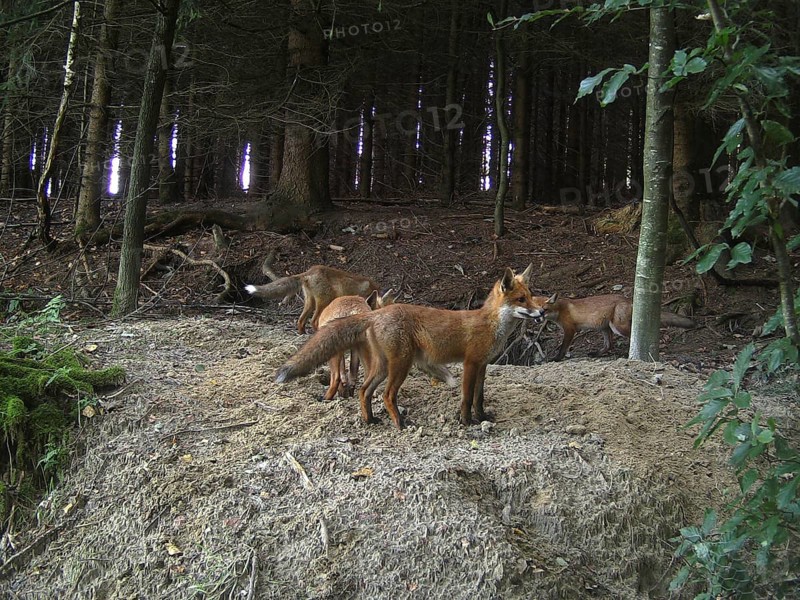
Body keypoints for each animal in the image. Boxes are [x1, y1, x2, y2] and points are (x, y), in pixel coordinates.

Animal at [245, 265, 379, 334]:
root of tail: (309, 272)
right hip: (323, 301)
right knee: (313, 321)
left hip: (310, 302)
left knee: (300, 320)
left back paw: (302, 334)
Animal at [316, 290, 457, 404]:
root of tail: (352, 310)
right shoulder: (355, 350)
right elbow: (352, 375)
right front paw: (347, 394)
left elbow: (343, 376)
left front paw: (343, 394)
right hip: (367, 350)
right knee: (367, 377)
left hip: (337, 354)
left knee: (336, 378)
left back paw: (325, 398)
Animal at [536, 293, 696, 361]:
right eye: (534, 311)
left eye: (544, 310)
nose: (537, 320)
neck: (560, 309)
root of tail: (629, 300)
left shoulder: (570, 330)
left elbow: (563, 348)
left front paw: (556, 358)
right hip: (604, 328)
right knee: (609, 345)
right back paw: (597, 354)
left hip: (617, 327)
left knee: (633, 336)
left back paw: (630, 354)